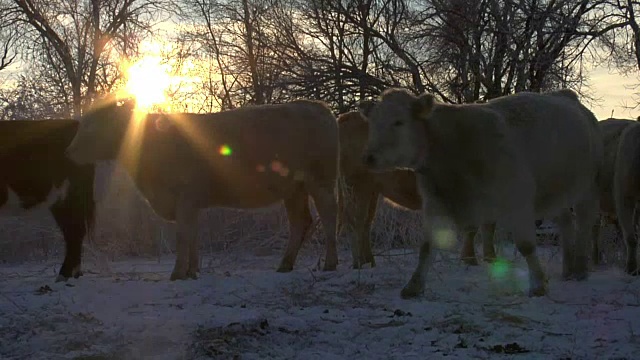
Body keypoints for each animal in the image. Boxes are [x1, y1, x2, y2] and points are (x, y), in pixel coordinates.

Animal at [66, 97, 340, 280]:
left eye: (93, 124)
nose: (70, 151)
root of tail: (316, 107)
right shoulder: (192, 203)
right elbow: (193, 235)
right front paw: (191, 270)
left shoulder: (185, 197)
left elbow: (183, 235)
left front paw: (177, 273)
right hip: (294, 189)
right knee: (301, 222)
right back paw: (285, 264)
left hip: (322, 181)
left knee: (329, 217)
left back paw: (330, 263)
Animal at [338, 111, 498, 268]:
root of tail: (347, 116)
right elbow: (473, 228)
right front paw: (471, 259)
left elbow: (488, 227)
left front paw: (490, 259)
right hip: (357, 186)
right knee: (356, 222)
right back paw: (359, 263)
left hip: (371, 191)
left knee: (366, 223)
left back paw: (369, 262)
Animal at [362, 89, 604, 298]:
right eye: (372, 123)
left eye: (398, 121)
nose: (369, 157)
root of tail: (568, 96)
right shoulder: (435, 202)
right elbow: (427, 247)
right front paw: (413, 286)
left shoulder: (518, 198)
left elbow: (526, 245)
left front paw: (538, 285)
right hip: (554, 195)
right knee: (566, 222)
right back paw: (568, 269)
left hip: (588, 189)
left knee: (584, 222)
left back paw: (580, 269)